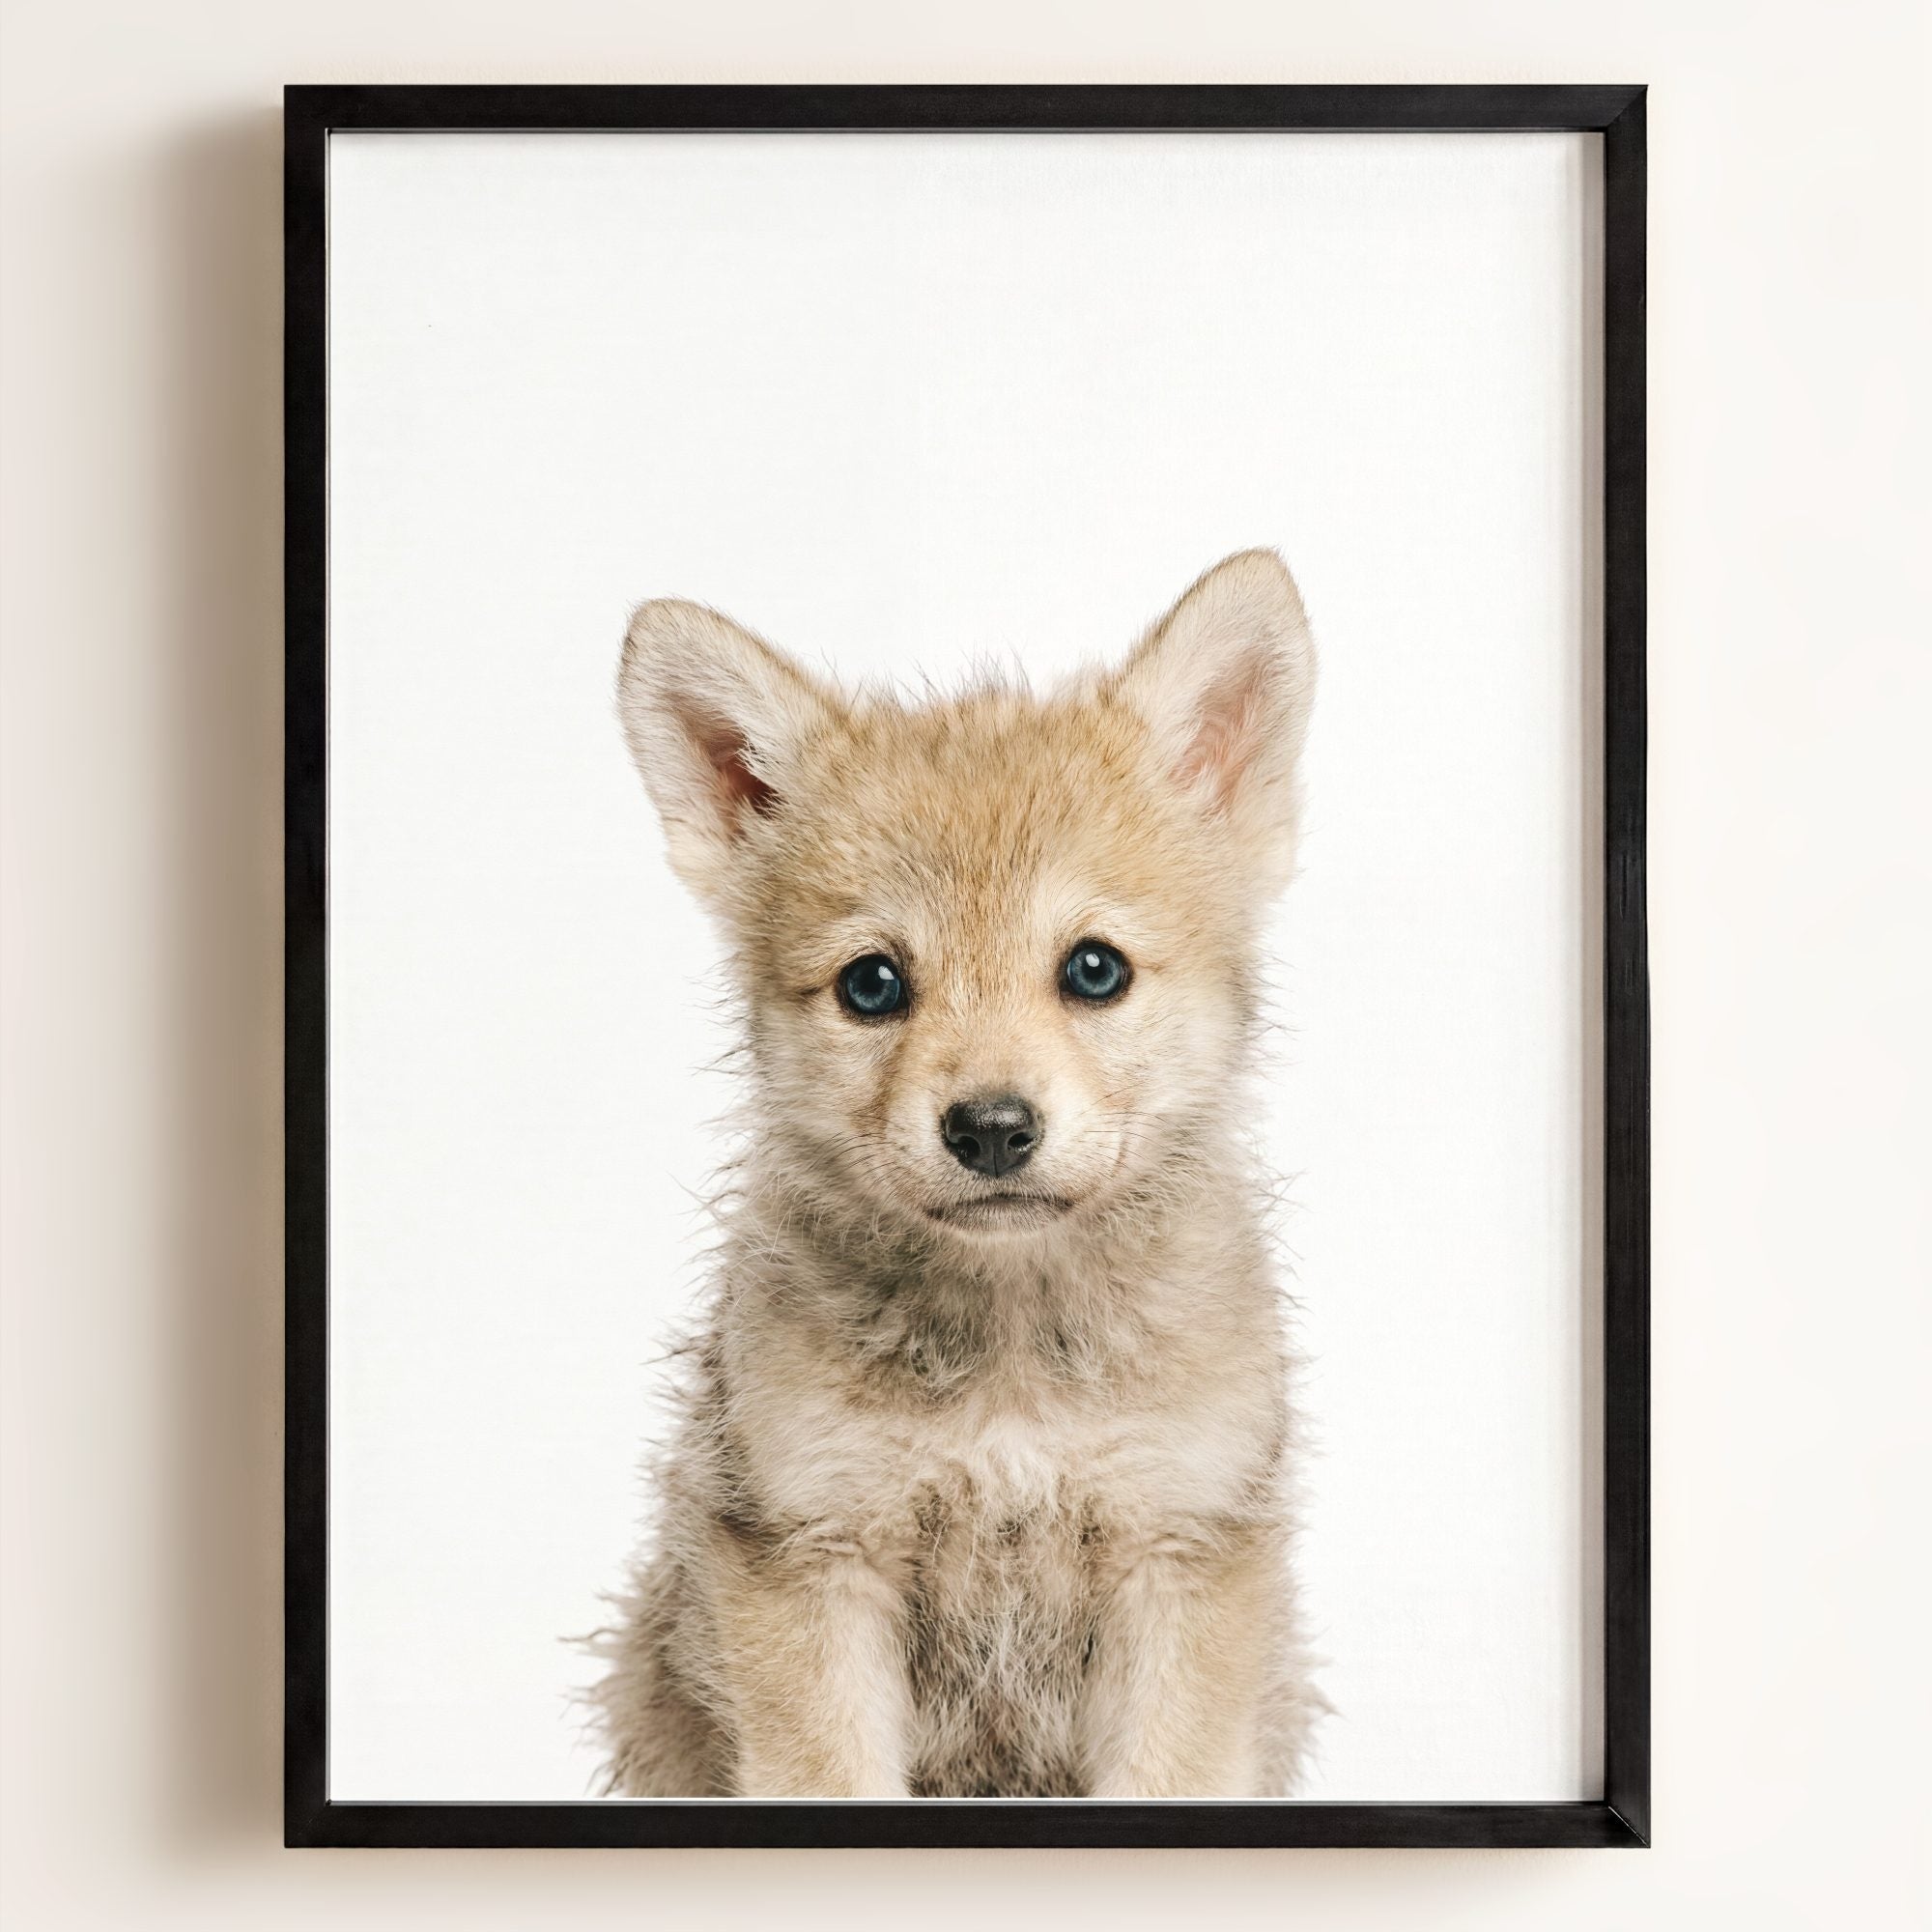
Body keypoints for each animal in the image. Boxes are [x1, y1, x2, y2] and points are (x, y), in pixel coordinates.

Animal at [591, 550, 1323, 1798]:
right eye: (871, 983)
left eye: (1093, 968)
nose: (988, 1127)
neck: (1011, 1364)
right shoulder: (814, 1553)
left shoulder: (1177, 1550)